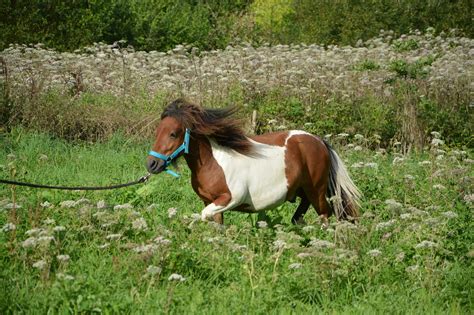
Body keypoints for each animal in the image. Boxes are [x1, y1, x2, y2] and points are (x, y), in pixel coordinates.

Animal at [146, 99, 362, 225]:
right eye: (157, 132)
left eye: (173, 134)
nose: (151, 165)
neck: (213, 163)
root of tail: (319, 141)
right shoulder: (212, 201)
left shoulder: (230, 198)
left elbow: (203, 215)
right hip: (302, 189)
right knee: (303, 211)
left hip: (316, 189)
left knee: (325, 214)